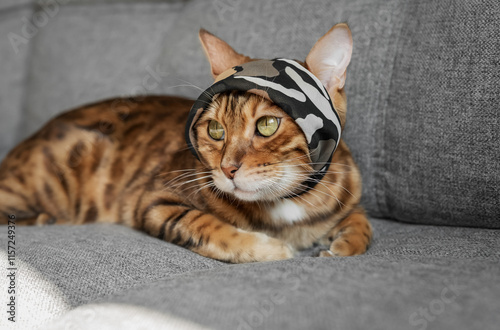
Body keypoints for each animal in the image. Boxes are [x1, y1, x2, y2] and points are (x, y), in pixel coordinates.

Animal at [0, 23, 372, 262]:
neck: (288, 204)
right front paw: (273, 249)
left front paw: (344, 243)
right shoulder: (153, 201)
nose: (228, 169)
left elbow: (361, 223)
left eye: (267, 125)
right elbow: (209, 226)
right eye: (216, 130)